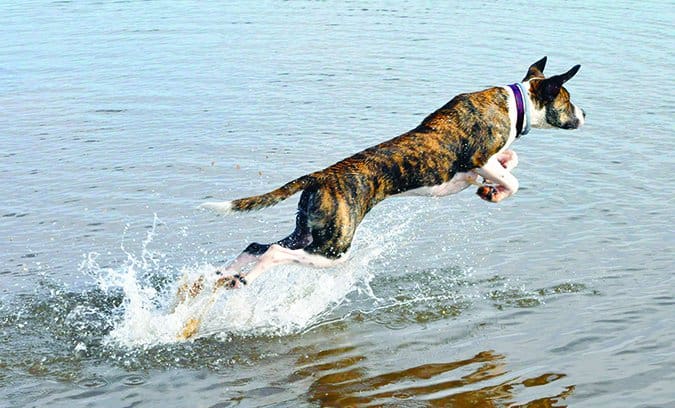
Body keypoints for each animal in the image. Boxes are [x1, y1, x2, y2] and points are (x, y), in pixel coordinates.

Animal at [198, 55, 584, 288]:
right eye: (568, 101)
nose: (584, 115)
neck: (514, 103)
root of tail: (321, 176)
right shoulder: (478, 159)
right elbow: (513, 178)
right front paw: (498, 192)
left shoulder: (480, 167)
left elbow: (511, 161)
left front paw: (490, 191)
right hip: (334, 248)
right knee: (275, 254)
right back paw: (245, 279)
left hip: (309, 233)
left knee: (257, 245)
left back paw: (224, 273)